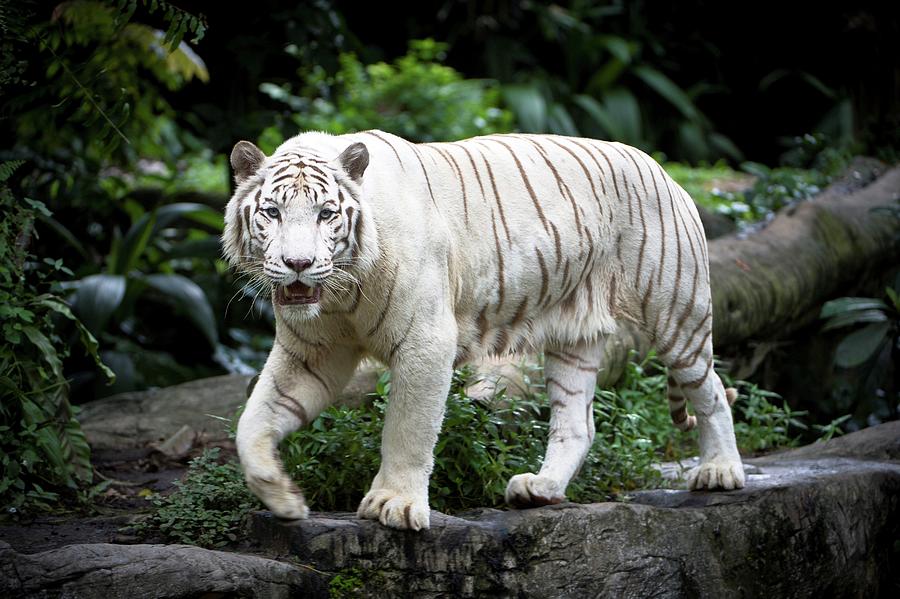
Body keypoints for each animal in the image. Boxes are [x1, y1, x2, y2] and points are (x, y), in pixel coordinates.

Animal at [225, 130, 744, 528]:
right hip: (572, 337)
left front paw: (395, 504)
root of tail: (662, 169)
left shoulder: (426, 341)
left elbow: (408, 429)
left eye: (326, 214)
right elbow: (253, 421)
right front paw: (283, 498)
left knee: (712, 390)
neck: (340, 294)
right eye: (272, 212)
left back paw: (720, 471)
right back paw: (542, 488)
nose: (298, 264)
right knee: (578, 423)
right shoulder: (311, 354)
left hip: (676, 309)